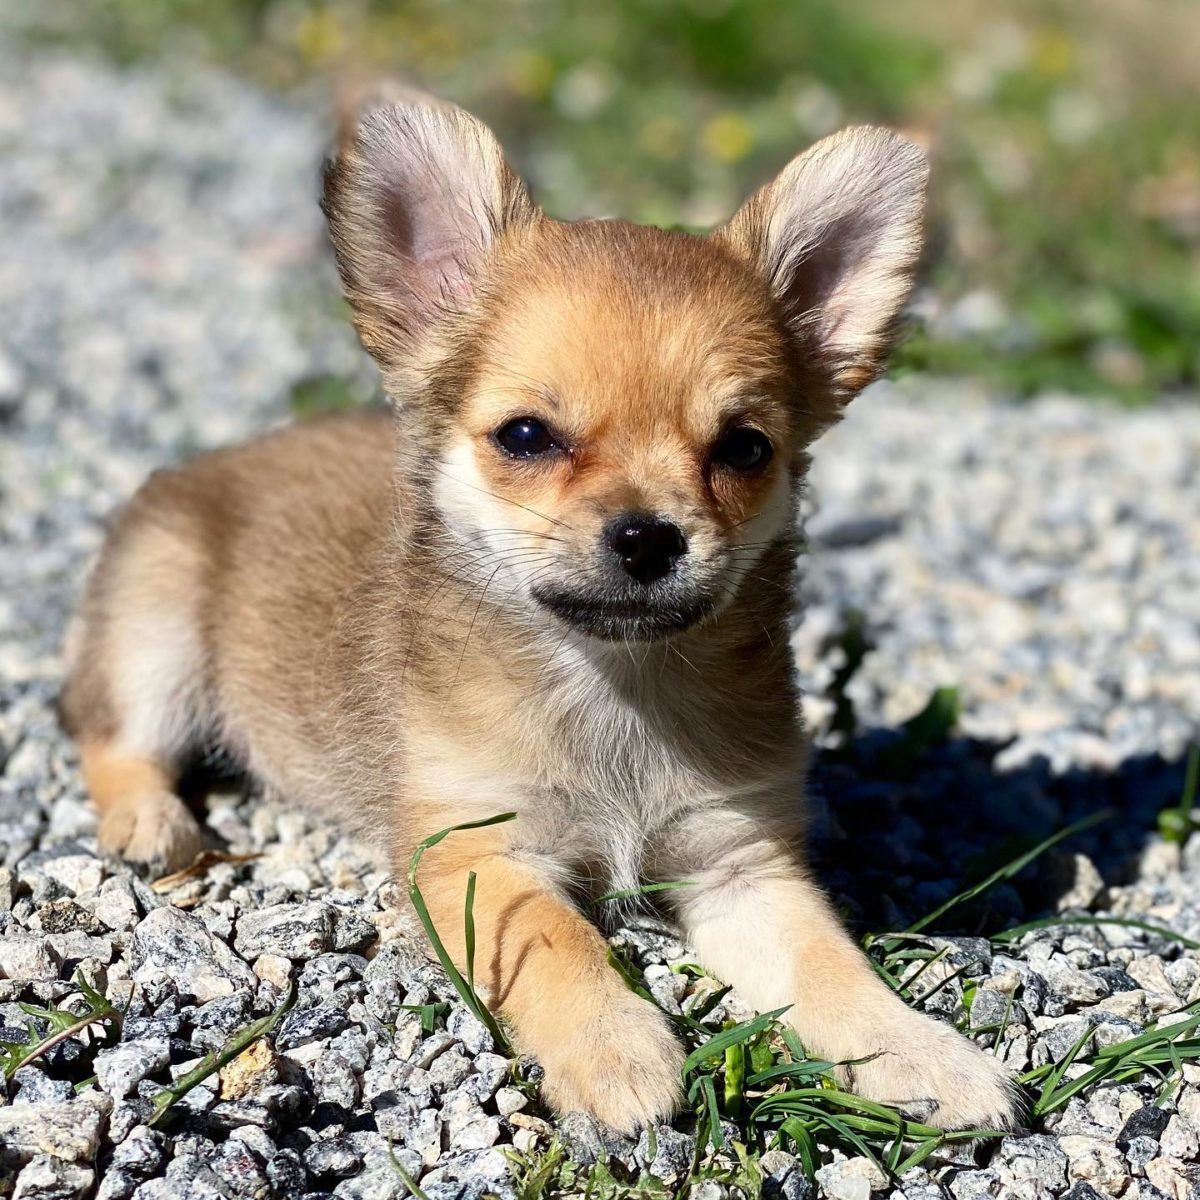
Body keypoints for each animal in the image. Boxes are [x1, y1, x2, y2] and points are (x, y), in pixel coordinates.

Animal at [60, 96, 1017, 1132]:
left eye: (745, 447)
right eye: (527, 436)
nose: (648, 536)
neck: (616, 694)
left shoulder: (741, 865)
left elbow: (829, 966)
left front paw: (924, 1054)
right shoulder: (479, 853)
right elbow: (560, 939)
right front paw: (616, 1048)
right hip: (156, 627)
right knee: (114, 739)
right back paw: (150, 820)